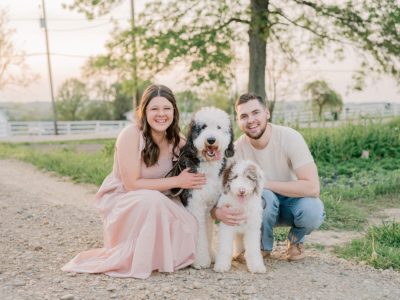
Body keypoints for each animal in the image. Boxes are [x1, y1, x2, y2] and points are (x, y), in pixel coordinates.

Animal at [171, 106, 234, 268]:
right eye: (203, 127)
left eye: (219, 127)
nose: (211, 140)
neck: (207, 165)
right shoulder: (195, 204)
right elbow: (199, 233)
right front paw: (200, 261)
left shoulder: (209, 205)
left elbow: (208, 231)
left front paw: (211, 255)